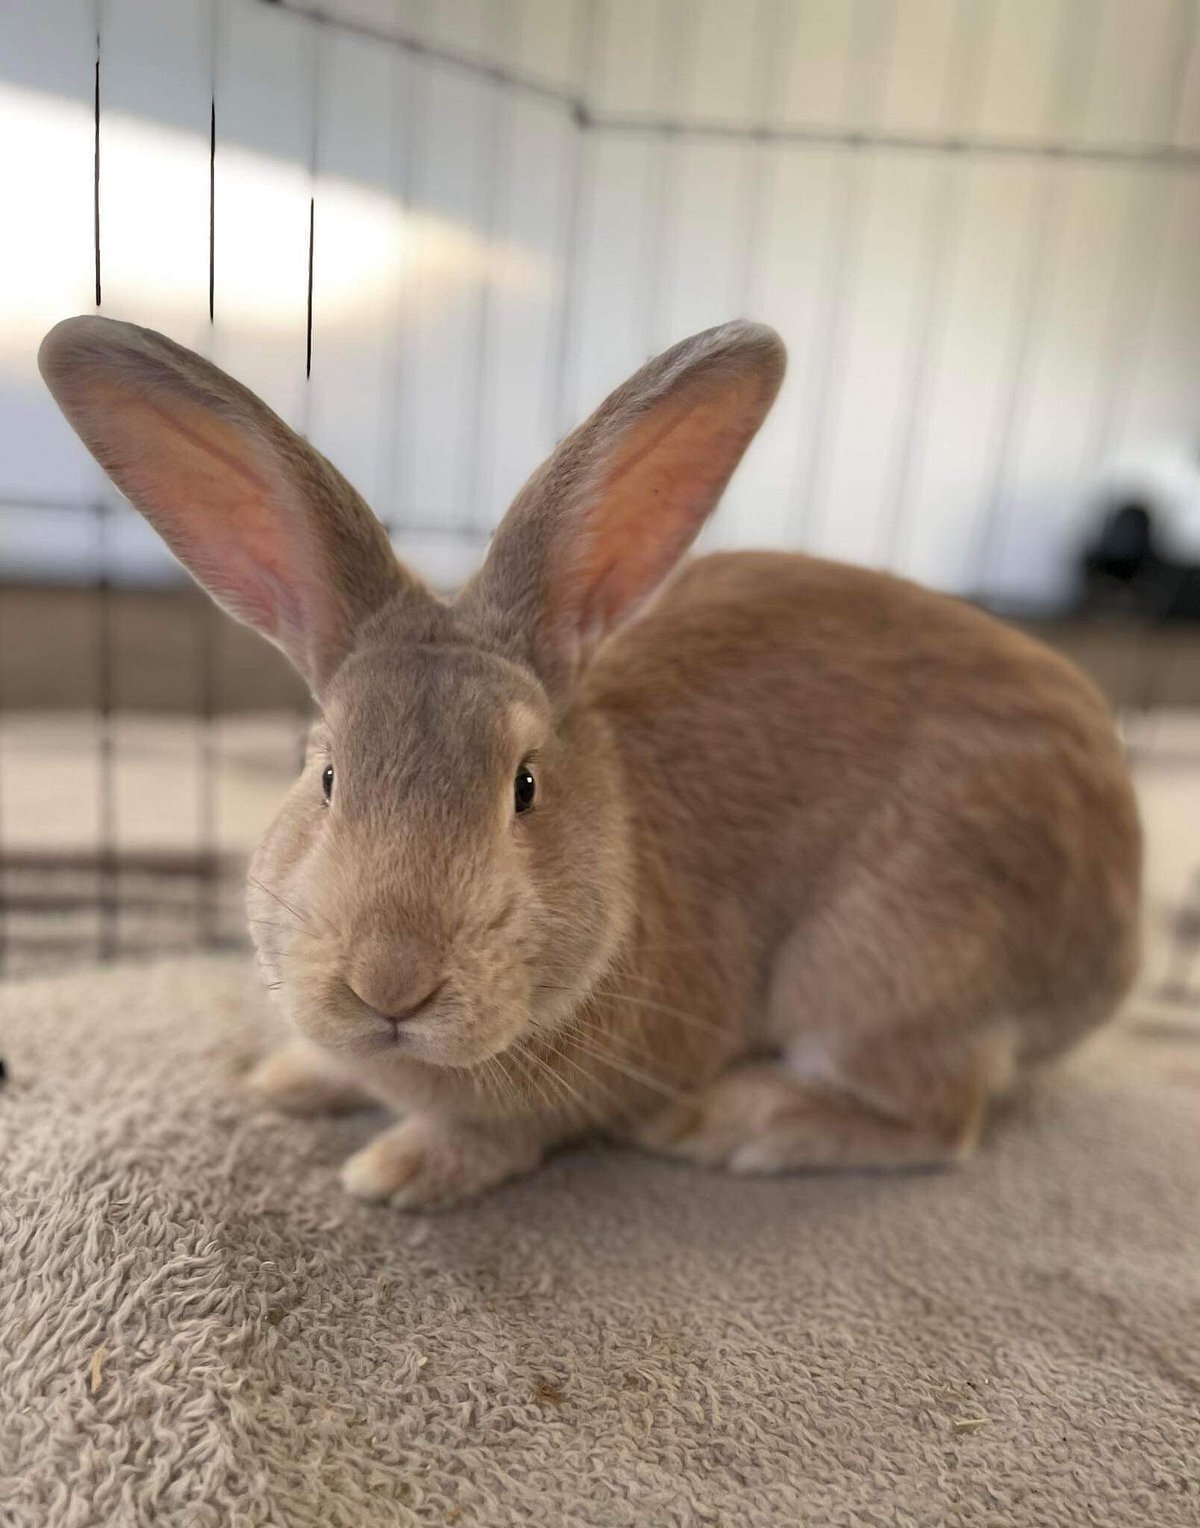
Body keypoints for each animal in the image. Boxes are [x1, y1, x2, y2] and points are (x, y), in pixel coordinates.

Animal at [39, 315, 1141, 1210]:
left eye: (524, 786)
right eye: (326, 777)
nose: (392, 983)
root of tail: (1116, 937)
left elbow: (495, 1138)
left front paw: (397, 1170)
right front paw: (290, 1080)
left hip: (881, 965)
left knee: (943, 1118)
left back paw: (733, 1122)